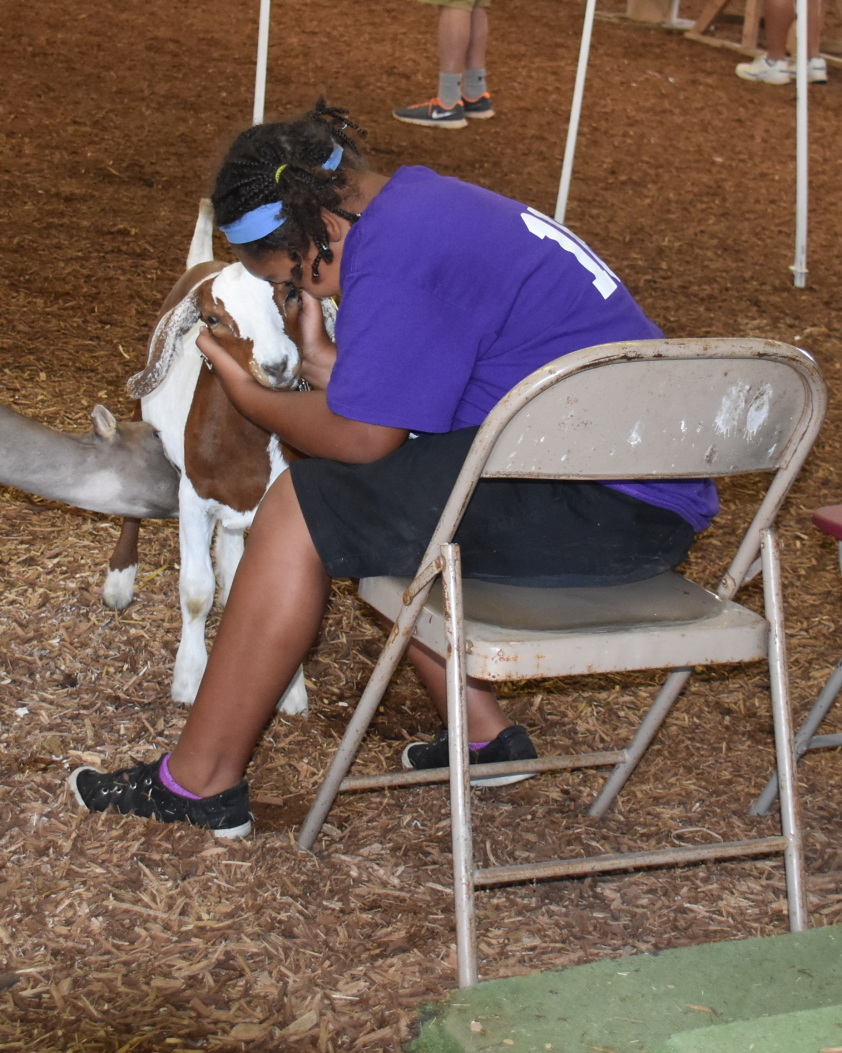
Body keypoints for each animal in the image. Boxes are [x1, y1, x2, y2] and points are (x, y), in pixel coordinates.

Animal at [104, 203, 335, 715]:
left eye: (291, 292)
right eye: (212, 318)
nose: (277, 366)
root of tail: (202, 262)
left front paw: (292, 689)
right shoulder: (193, 496)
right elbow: (195, 592)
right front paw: (189, 678)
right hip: (144, 413)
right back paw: (120, 579)